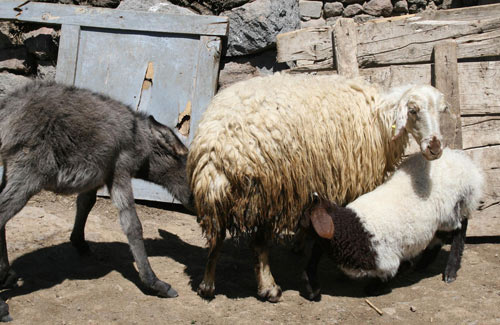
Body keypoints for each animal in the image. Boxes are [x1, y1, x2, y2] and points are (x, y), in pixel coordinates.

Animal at [0, 81, 194, 322]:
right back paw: (2, 305)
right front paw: (154, 283)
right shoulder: (120, 170)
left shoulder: (100, 173)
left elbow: (86, 202)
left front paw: (79, 242)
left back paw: (5, 274)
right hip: (29, 172)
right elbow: (132, 226)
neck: (138, 138)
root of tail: (9, 107)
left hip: (12, 170)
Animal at [302, 147, 486, 298]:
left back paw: (450, 272)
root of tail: (465, 163)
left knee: (460, 229)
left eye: (305, 215)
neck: (353, 229)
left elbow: (386, 276)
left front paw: (376, 286)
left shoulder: (386, 259)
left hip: (454, 208)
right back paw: (422, 264)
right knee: (439, 237)